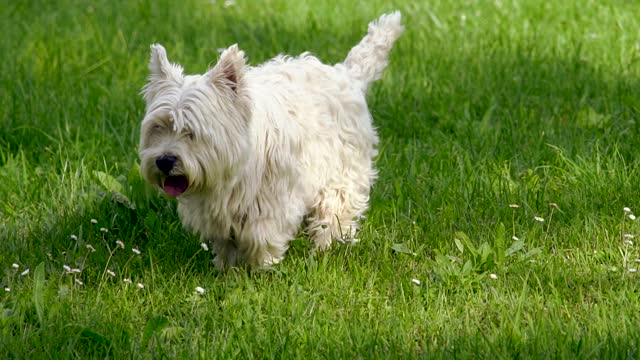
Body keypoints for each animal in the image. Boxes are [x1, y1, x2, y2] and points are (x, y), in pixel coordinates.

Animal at [138, 10, 402, 268]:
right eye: (158, 127)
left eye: (191, 132)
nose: (164, 161)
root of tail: (346, 74)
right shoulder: (217, 211)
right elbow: (226, 245)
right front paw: (227, 271)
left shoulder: (271, 203)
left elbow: (260, 237)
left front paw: (259, 270)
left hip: (341, 173)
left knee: (335, 213)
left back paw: (326, 248)